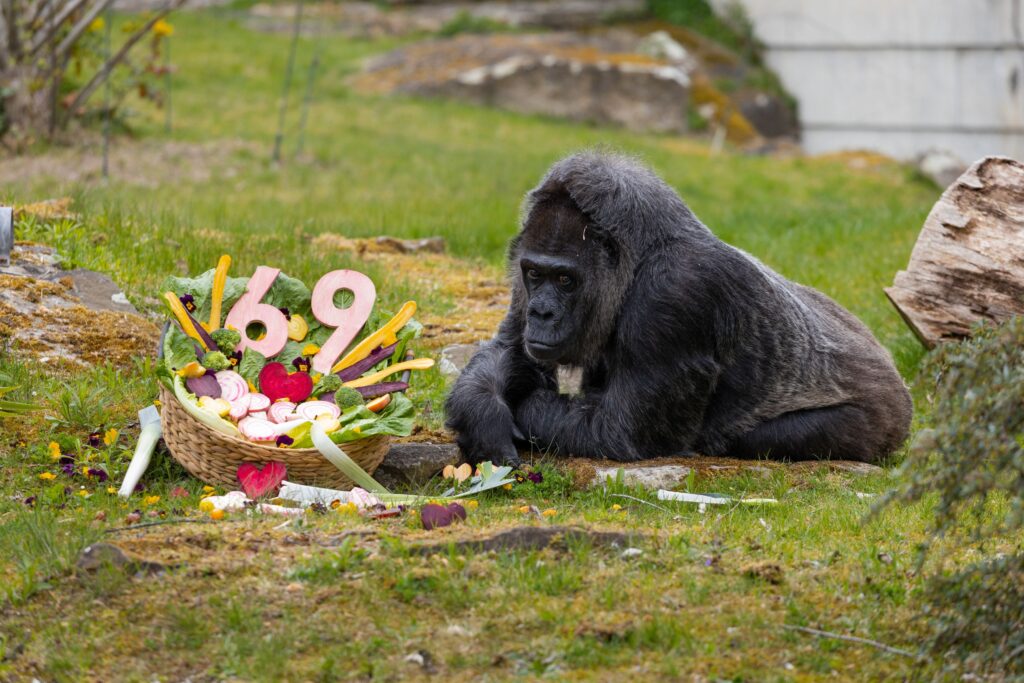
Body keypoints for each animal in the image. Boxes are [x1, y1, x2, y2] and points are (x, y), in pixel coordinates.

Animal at [445, 151, 912, 467]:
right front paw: (484, 415)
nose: (541, 313)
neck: (639, 256)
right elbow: (511, 350)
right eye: (535, 275)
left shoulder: (674, 294)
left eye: (565, 280)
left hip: (884, 421)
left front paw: (523, 408)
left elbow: (617, 432)